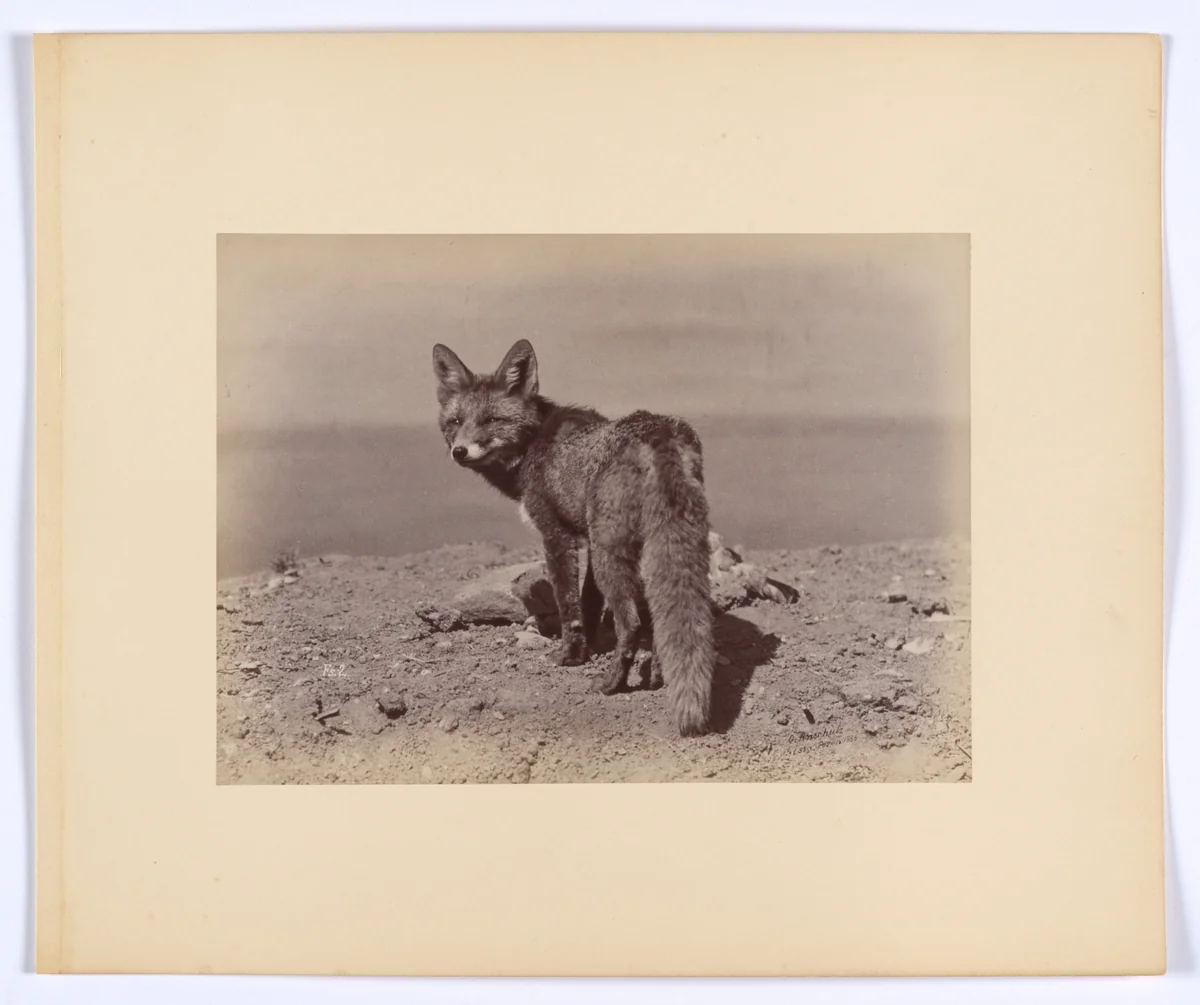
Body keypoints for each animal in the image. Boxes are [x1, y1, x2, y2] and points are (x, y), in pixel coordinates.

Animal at [431, 338, 715, 737]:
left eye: (492, 420)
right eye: (455, 422)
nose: (460, 451)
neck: (533, 446)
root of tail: (658, 430)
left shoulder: (557, 535)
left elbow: (569, 604)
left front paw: (570, 655)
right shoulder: (588, 539)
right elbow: (589, 601)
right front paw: (588, 648)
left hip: (613, 552)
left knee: (631, 622)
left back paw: (612, 684)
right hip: (645, 547)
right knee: (658, 620)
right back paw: (657, 676)